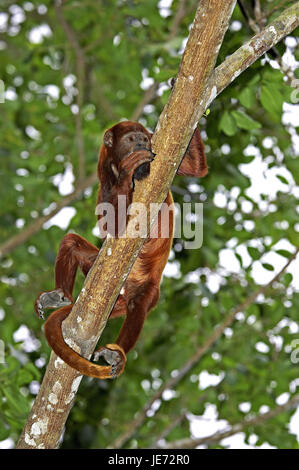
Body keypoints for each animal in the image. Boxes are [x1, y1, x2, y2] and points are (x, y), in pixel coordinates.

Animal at [34, 120, 209, 378]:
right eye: (131, 139)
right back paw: (60, 295)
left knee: (139, 305)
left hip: (150, 288)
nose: (142, 144)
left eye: (145, 139)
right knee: (71, 242)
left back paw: (117, 353)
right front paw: (127, 172)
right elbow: (110, 224)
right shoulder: (103, 174)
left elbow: (195, 169)